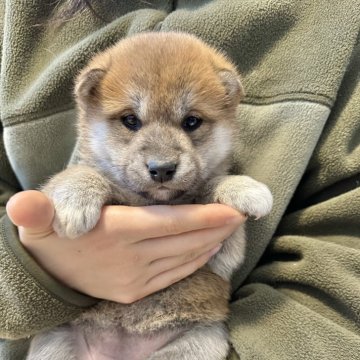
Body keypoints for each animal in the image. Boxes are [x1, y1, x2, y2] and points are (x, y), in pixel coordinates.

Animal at [26, 32, 272, 358]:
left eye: (191, 121)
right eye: (131, 120)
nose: (162, 169)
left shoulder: (220, 260)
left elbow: (211, 183)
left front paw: (242, 187)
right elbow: (80, 174)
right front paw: (75, 199)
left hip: (200, 341)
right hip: (55, 342)